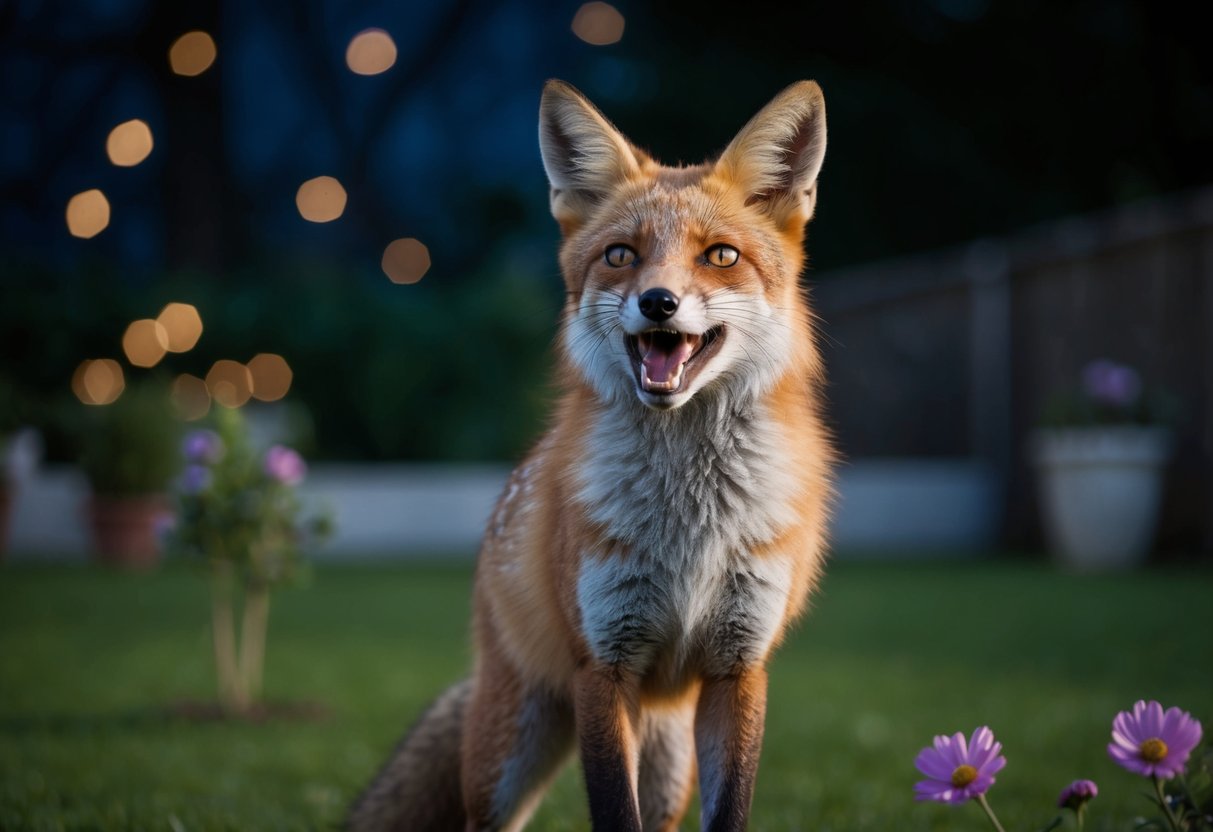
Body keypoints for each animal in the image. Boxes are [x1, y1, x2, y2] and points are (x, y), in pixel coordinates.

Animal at [348, 78, 833, 832]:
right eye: (620, 255)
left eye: (720, 256)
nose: (658, 303)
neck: (688, 521)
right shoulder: (602, 666)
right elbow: (611, 811)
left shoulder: (738, 667)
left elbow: (729, 811)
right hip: (507, 759)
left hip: (669, 758)